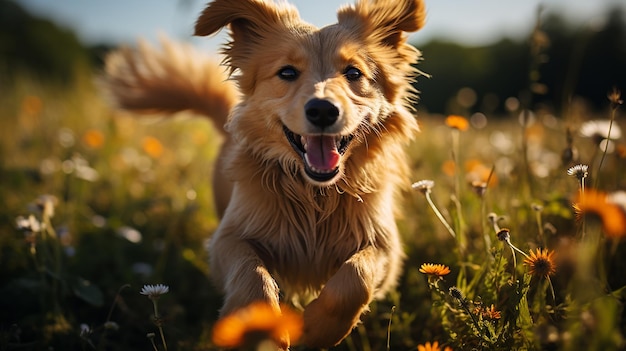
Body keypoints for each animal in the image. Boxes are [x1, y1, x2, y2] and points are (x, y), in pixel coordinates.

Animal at [105, 0, 426, 348]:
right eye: (287, 72)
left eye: (354, 73)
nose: (323, 110)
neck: (315, 194)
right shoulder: (228, 238)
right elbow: (252, 276)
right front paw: (260, 329)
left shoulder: (385, 246)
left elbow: (355, 278)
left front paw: (318, 329)